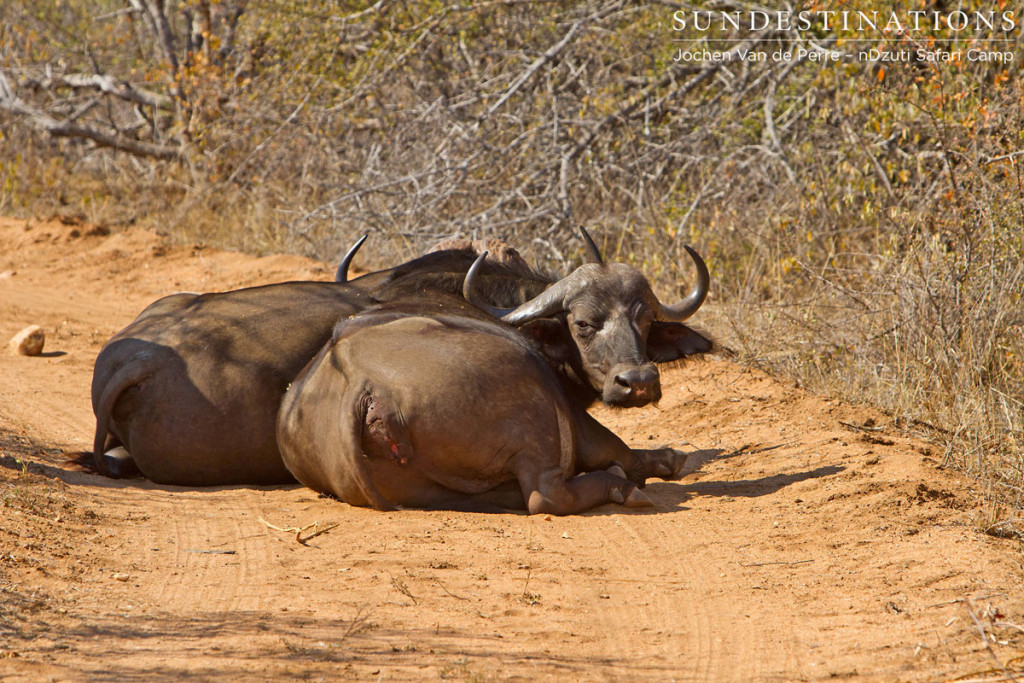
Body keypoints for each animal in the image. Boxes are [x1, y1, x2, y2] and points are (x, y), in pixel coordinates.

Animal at [274, 296, 655, 516]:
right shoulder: (575, 419)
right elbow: (620, 449)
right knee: (546, 496)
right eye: (584, 325)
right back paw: (621, 486)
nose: (636, 378)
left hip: (422, 487)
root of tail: (360, 382)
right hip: (534, 413)